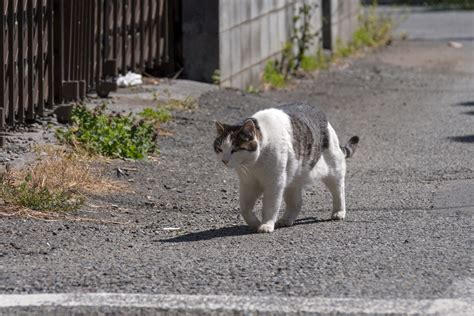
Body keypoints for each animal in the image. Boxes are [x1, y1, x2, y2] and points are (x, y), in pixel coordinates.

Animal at [213, 102, 358, 233]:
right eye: (219, 149)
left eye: (235, 150)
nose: (224, 160)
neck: (253, 165)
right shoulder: (248, 184)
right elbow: (244, 208)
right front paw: (255, 223)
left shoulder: (274, 183)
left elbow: (270, 206)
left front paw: (266, 225)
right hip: (292, 179)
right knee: (296, 203)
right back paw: (286, 220)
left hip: (334, 169)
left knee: (339, 190)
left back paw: (339, 212)